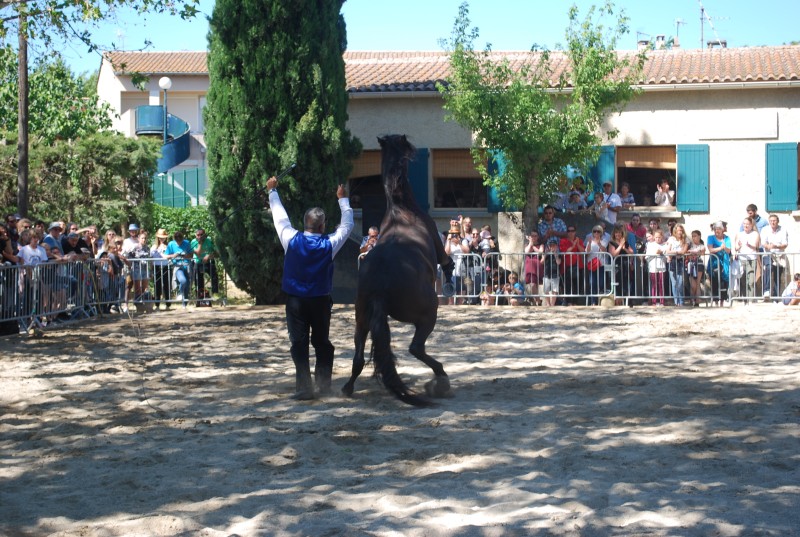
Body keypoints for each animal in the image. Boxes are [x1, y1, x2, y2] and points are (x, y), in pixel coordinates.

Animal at [340, 135, 456, 406]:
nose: (413, 148)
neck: (401, 209)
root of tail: (379, 284)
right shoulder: (439, 247)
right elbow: (447, 261)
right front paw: (450, 275)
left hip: (362, 318)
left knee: (358, 357)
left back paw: (348, 388)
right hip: (427, 313)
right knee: (416, 347)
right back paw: (441, 377)